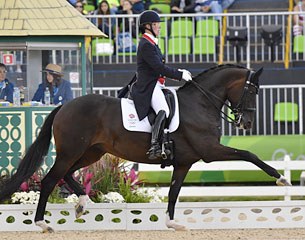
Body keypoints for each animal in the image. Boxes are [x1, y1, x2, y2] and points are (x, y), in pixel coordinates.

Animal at [0, 63, 290, 232]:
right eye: (252, 91)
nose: (247, 123)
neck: (200, 103)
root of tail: (64, 106)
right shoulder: (210, 151)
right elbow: (248, 154)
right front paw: (281, 179)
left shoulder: (184, 162)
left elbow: (174, 192)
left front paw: (172, 223)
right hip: (72, 151)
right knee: (50, 179)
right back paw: (42, 224)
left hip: (91, 151)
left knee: (67, 174)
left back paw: (82, 203)